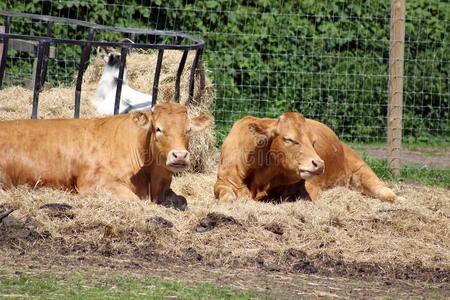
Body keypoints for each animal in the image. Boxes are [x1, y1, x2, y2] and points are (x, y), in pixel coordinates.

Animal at [0, 102, 212, 210]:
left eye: (188, 130)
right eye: (158, 128)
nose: (179, 156)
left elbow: (182, 200)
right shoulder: (94, 183)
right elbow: (136, 201)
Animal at [214, 113, 400, 203]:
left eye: (313, 142)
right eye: (289, 139)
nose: (319, 164)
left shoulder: (310, 187)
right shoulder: (223, 181)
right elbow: (226, 195)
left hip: (362, 170)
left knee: (384, 191)